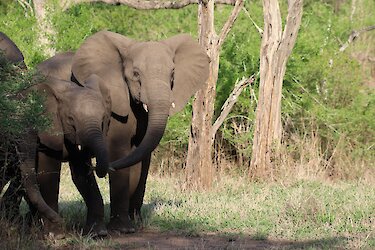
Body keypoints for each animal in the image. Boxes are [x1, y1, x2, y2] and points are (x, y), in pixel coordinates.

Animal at [70, 30, 212, 232]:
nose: (98, 167)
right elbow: (119, 150)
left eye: (173, 73)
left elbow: (142, 156)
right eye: (135, 74)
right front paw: (123, 229)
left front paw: (136, 222)